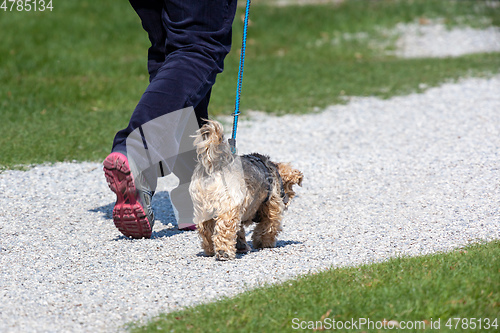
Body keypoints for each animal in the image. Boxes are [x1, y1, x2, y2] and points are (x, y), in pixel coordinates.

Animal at [189, 119, 302, 260]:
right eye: (290, 189)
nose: (288, 200)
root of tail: (213, 165)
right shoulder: (271, 207)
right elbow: (268, 226)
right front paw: (265, 242)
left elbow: (240, 231)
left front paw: (241, 245)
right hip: (228, 206)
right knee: (224, 228)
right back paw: (224, 252)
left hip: (202, 208)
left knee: (206, 230)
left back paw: (210, 250)